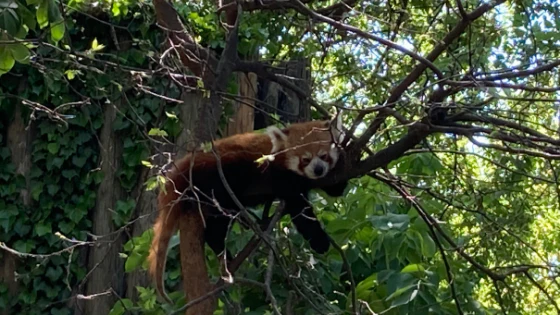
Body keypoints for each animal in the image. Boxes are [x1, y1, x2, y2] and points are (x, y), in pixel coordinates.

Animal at [148, 118, 350, 302]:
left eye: (324, 156)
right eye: (305, 159)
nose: (318, 169)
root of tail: (185, 164)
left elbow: (336, 189)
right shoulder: (280, 174)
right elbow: (299, 209)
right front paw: (319, 241)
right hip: (221, 173)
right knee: (219, 217)